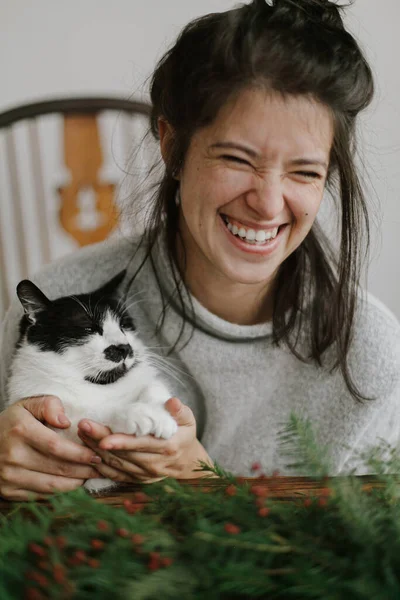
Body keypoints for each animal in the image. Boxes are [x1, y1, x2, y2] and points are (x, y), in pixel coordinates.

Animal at [5, 272, 177, 492]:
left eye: (124, 326)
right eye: (88, 328)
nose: (124, 348)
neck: (94, 385)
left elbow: (153, 386)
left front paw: (159, 410)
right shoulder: (59, 423)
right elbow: (93, 417)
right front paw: (144, 415)